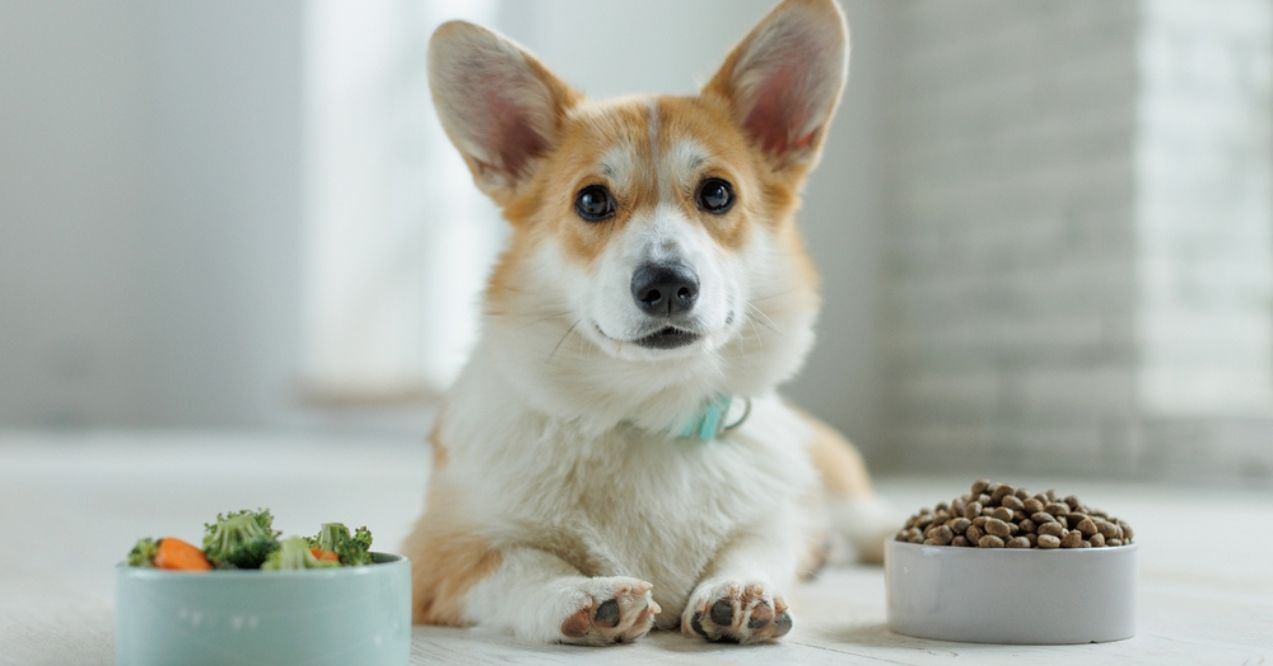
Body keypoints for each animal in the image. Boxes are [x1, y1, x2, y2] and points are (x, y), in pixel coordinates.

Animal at [402, 0, 891, 646]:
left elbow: (756, 545)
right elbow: (523, 567)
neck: (651, 410)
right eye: (591, 201)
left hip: (842, 495)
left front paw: (740, 591)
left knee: (874, 524)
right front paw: (581, 595)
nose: (667, 286)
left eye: (717, 193)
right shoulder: (440, 558)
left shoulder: (775, 520)